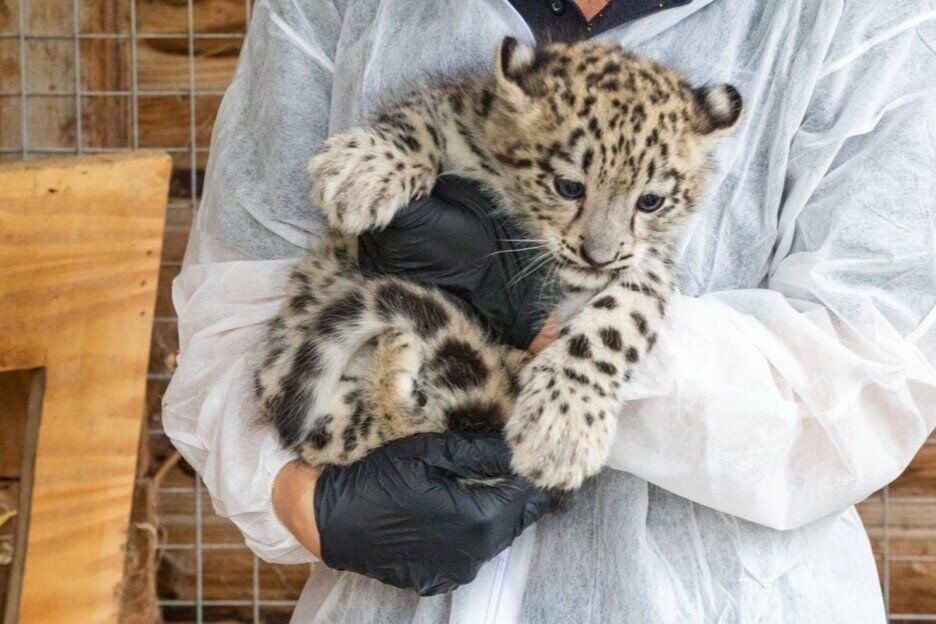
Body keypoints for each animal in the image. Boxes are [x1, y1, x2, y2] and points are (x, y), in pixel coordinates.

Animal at [254, 37, 742, 491]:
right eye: (569, 186)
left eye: (650, 201)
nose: (597, 256)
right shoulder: (456, 110)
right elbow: (417, 121)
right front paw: (362, 171)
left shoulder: (650, 259)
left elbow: (621, 317)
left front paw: (562, 428)